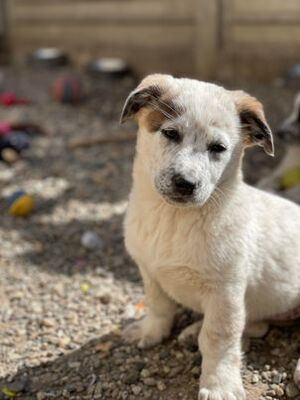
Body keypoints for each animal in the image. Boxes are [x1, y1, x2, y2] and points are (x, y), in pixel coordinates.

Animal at [120, 73, 300, 398]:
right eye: (170, 133)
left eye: (218, 148)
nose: (185, 183)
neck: (173, 221)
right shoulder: (149, 271)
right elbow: (159, 305)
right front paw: (151, 331)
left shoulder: (225, 293)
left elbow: (218, 338)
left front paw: (219, 385)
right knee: (257, 325)